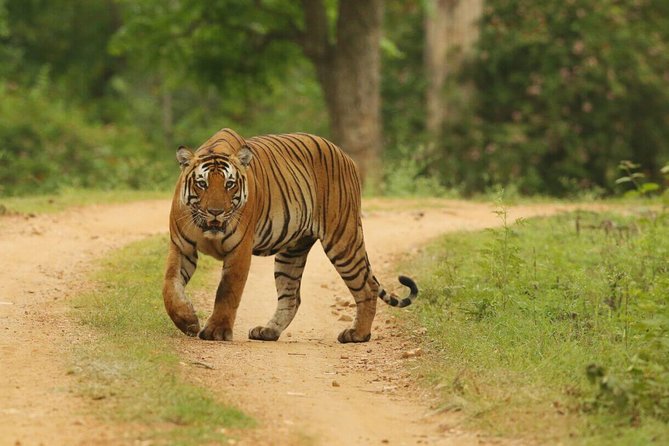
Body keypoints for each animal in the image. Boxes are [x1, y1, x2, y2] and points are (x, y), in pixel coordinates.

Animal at [163, 128, 418, 343]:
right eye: (202, 184)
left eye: (230, 184)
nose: (215, 212)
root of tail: (345, 155)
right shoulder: (181, 247)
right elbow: (170, 287)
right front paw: (187, 321)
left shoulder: (240, 250)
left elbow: (227, 291)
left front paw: (216, 331)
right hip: (292, 251)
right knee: (292, 297)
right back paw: (268, 331)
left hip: (343, 239)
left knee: (367, 288)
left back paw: (357, 334)